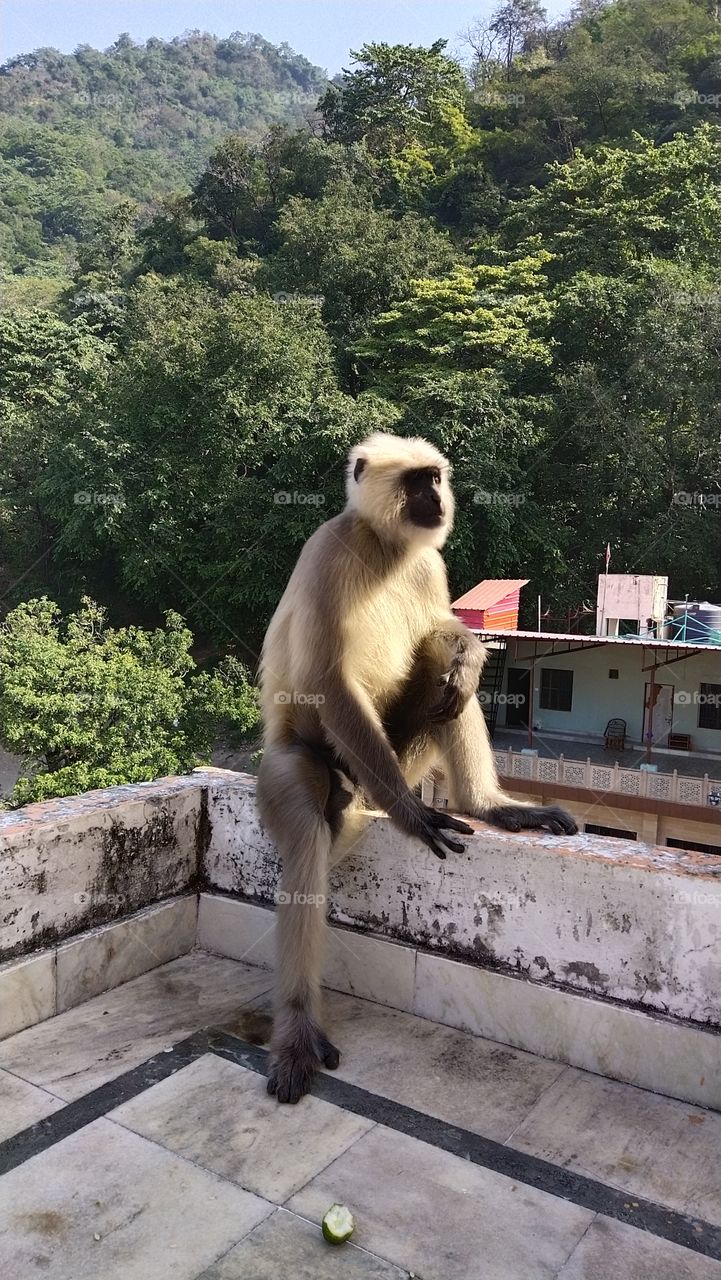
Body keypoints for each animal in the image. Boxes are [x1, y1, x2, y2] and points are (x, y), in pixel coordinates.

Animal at [257, 432, 577, 1103]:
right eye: (415, 482)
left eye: (435, 477)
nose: (435, 499)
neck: (388, 547)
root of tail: (359, 787)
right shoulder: (329, 547)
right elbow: (326, 678)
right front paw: (413, 817)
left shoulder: (427, 563)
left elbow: (445, 631)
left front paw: (471, 651)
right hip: (317, 760)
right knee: (307, 829)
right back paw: (297, 1028)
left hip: (396, 759)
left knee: (446, 686)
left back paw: (491, 805)